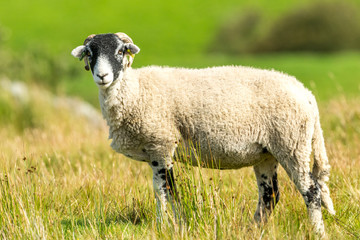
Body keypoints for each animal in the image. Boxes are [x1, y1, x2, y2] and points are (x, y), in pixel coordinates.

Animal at [71, 32, 336, 236]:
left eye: (120, 51)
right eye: (90, 53)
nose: (102, 76)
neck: (135, 91)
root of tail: (307, 94)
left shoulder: (161, 144)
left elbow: (165, 191)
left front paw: (166, 226)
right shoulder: (158, 151)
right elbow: (168, 192)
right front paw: (174, 225)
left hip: (292, 143)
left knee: (311, 191)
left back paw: (317, 232)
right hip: (267, 153)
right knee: (270, 195)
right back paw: (251, 230)